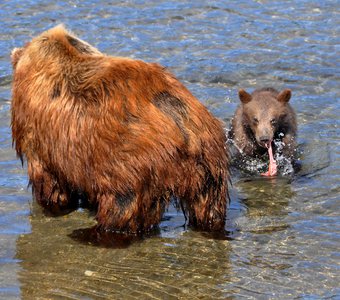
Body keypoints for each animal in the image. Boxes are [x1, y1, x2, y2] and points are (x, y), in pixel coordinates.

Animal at [11, 24, 228, 233]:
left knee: (123, 207)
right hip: (209, 165)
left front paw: (54, 204)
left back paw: (95, 232)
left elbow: (48, 180)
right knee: (208, 206)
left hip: (131, 163)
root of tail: (182, 122)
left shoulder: (38, 137)